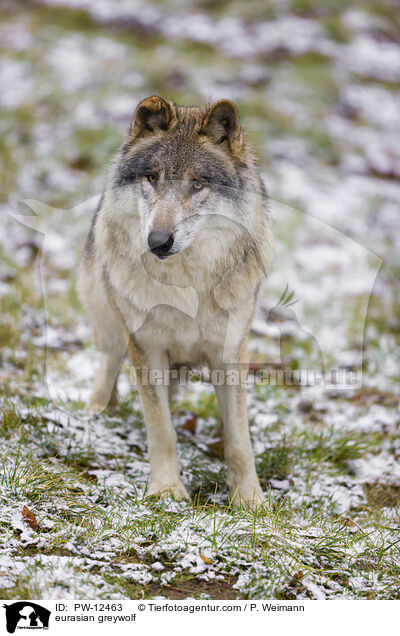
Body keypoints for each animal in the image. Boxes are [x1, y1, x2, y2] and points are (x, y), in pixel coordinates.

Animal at [78, 97, 274, 510]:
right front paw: (167, 492)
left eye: (197, 183)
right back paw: (97, 410)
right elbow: (162, 430)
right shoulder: (147, 350)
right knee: (109, 360)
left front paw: (249, 500)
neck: (186, 285)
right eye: (152, 178)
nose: (158, 241)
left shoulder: (230, 351)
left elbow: (239, 440)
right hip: (108, 319)